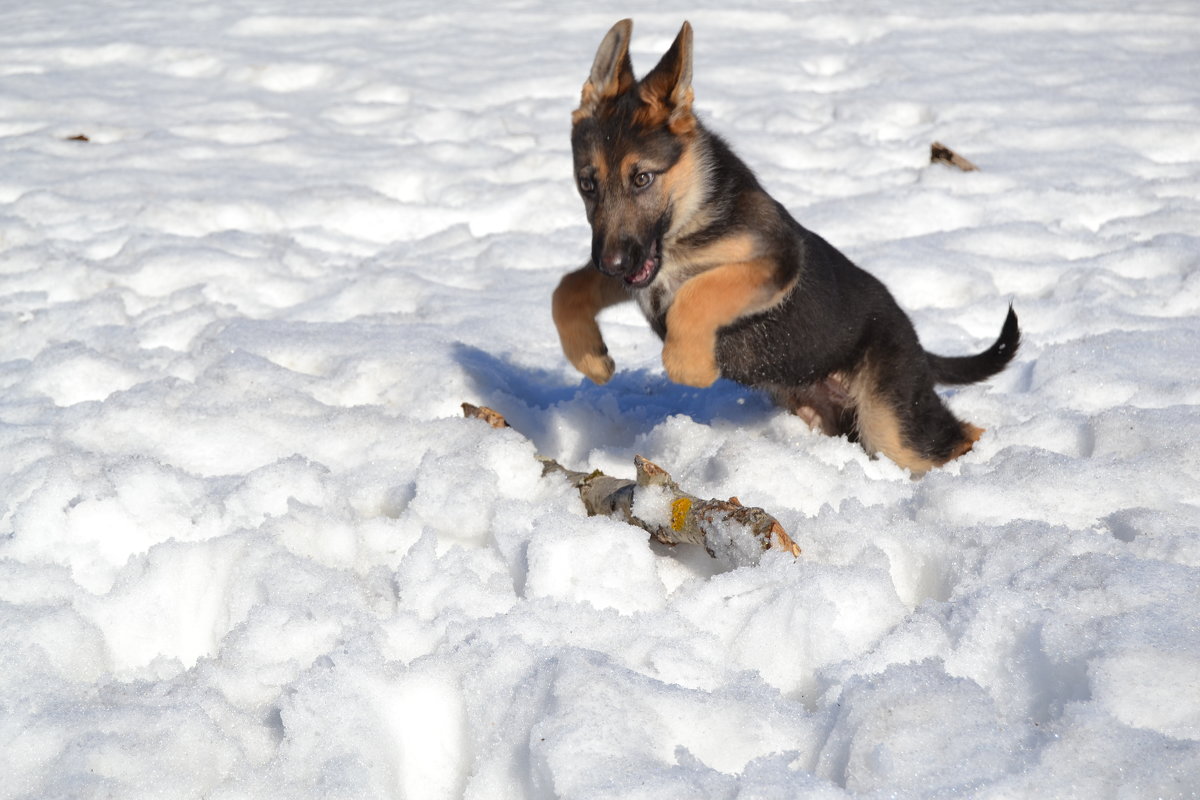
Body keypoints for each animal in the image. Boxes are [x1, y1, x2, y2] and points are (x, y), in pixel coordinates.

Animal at [549, 18, 1017, 474]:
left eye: (642, 178)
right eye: (588, 184)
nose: (611, 263)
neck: (692, 208)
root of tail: (918, 345)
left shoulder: (775, 261)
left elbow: (697, 293)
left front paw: (691, 366)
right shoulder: (641, 268)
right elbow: (567, 288)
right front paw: (591, 358)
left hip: (890, 422)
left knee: (957, 437)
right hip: (824, 413)